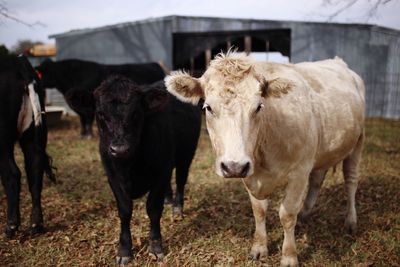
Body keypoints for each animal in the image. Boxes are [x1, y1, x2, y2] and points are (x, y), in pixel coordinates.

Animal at [0, 55, 55, 239]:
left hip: (3, 140)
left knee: (12, 174)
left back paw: (11, 226)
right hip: (32, 136)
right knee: (35, 171)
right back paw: (35, 225)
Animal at [35, 58, 164, 138]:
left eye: (41, 74)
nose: (37, 84)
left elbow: (88, 119)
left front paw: (88, 135)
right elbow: (82, 120)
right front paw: (82, 134)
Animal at [95, 76, 202, 266]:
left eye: (136, 113)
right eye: (100, 114)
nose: (119, 149)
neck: (129, 167)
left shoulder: (160, 173)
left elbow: (153, 209)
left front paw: (156, 246)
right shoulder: (112, 177)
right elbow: (125, 210)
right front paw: (124, 250)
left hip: (186, 155)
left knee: (180, 180)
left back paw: (177, 208)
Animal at [166, 52, 366, 267]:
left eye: (258, 107)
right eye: (208, 107)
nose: (233, 167)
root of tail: (338, 61)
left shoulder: (299, 172)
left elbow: (287, 214)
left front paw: (289, 256)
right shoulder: (251, 174)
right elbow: (259, 210)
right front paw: (259, 247)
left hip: (358, 142)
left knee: (351, 181)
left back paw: (351, 221)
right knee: (317, 179)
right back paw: (305, 213)